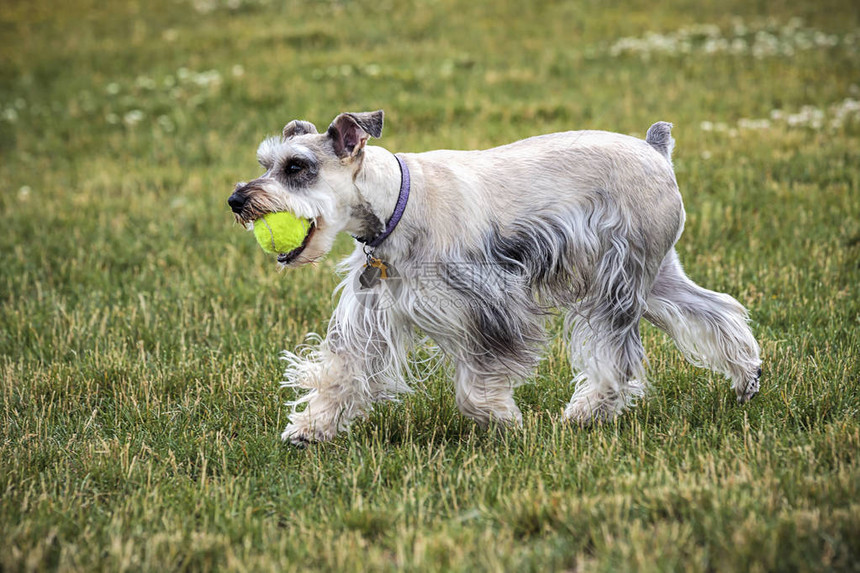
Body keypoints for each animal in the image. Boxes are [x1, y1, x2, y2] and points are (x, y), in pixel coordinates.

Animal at [227, 109, 760, 444]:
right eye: (266, 163)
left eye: (298, 167)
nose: (236, 200)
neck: (396, 200)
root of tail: (657, 151)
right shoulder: (372, 312)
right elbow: (342, 370)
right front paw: (310, 429)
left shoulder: (489, 306)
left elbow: (477, 380)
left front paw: (501, 419)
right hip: (657, 277)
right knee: (716, 310)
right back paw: (747, 376)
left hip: (617, 283)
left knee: (617, 357)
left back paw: (585, 413)